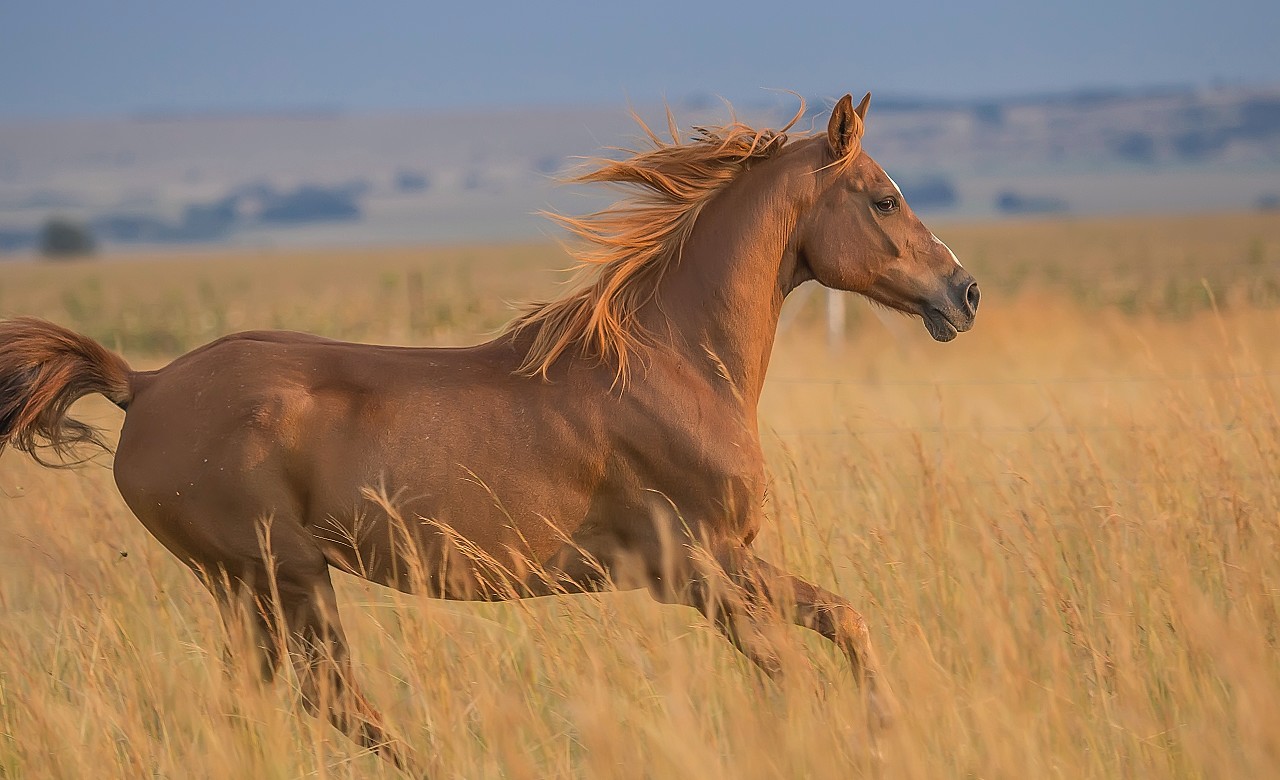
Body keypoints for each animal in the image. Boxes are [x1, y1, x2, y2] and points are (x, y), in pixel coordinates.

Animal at [0, 92, 978, 769]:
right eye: (885, 200)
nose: (964, 293)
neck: (674, 364)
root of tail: (144, 384)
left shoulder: (732, 560)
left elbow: (843, 619)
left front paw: (886, 729)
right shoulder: (695, 568)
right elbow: (789, 671)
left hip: (251, 588)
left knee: (269, 703)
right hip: (278, 575)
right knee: (333, 699)